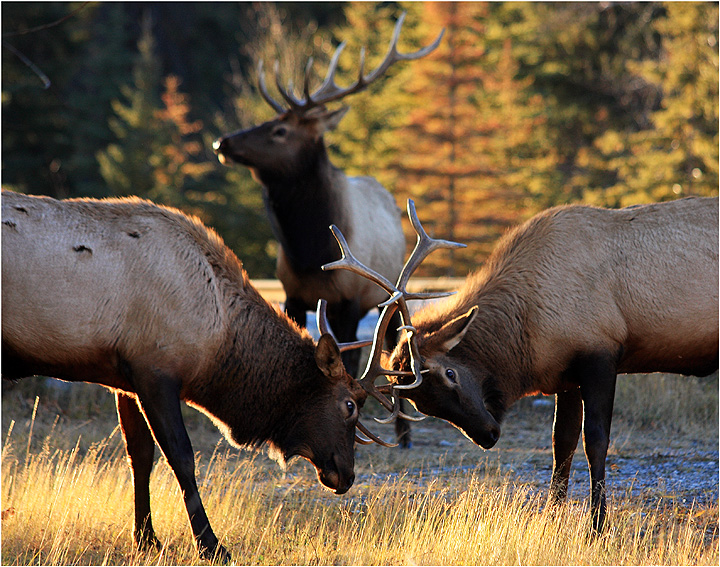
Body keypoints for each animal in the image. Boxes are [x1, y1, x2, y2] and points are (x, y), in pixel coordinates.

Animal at [0, 189, 401, 562]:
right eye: (349, 405)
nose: (347, 475)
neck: (217, 338)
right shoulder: (155, 370)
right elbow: (181, 456)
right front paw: (211, 545)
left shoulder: (123, 377)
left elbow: (139, 455)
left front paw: (146, 539)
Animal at [213, 13, 444, 447]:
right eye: (268, 121)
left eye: (280, 131)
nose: (222, 143)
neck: (310, 250)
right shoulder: (292, 293)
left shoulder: (348, 301)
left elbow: (352, 362)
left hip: (388, 293)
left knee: (394, 346)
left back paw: (404, 434)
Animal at [324, 196, 719, 536]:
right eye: (422, 404)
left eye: (451, 373)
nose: (488, 435)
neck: (530, 334)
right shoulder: (566, 376)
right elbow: (562, 443)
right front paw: (552, 517)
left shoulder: (601, 355)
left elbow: (596, 442)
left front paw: (596, 527)